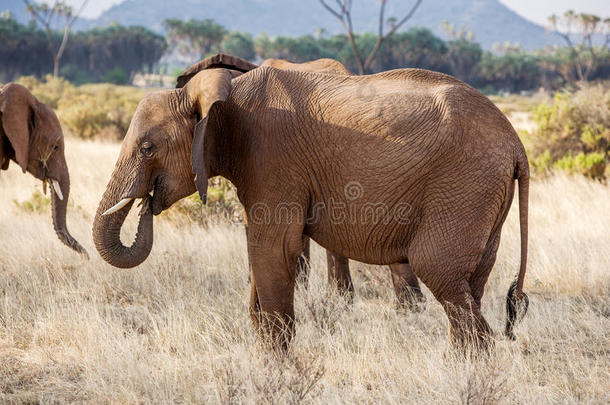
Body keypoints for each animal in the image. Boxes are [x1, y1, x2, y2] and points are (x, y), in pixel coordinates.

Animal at [91, 53, 528, 348]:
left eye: (147, 148)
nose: (146, 202)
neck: (223, 90)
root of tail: (516, 143)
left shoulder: (273, 160)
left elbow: (273, 247)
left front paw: (277, 365)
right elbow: (261, 252)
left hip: (465, 185)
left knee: (438, 270)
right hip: (483, 195)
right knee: (470, 283)